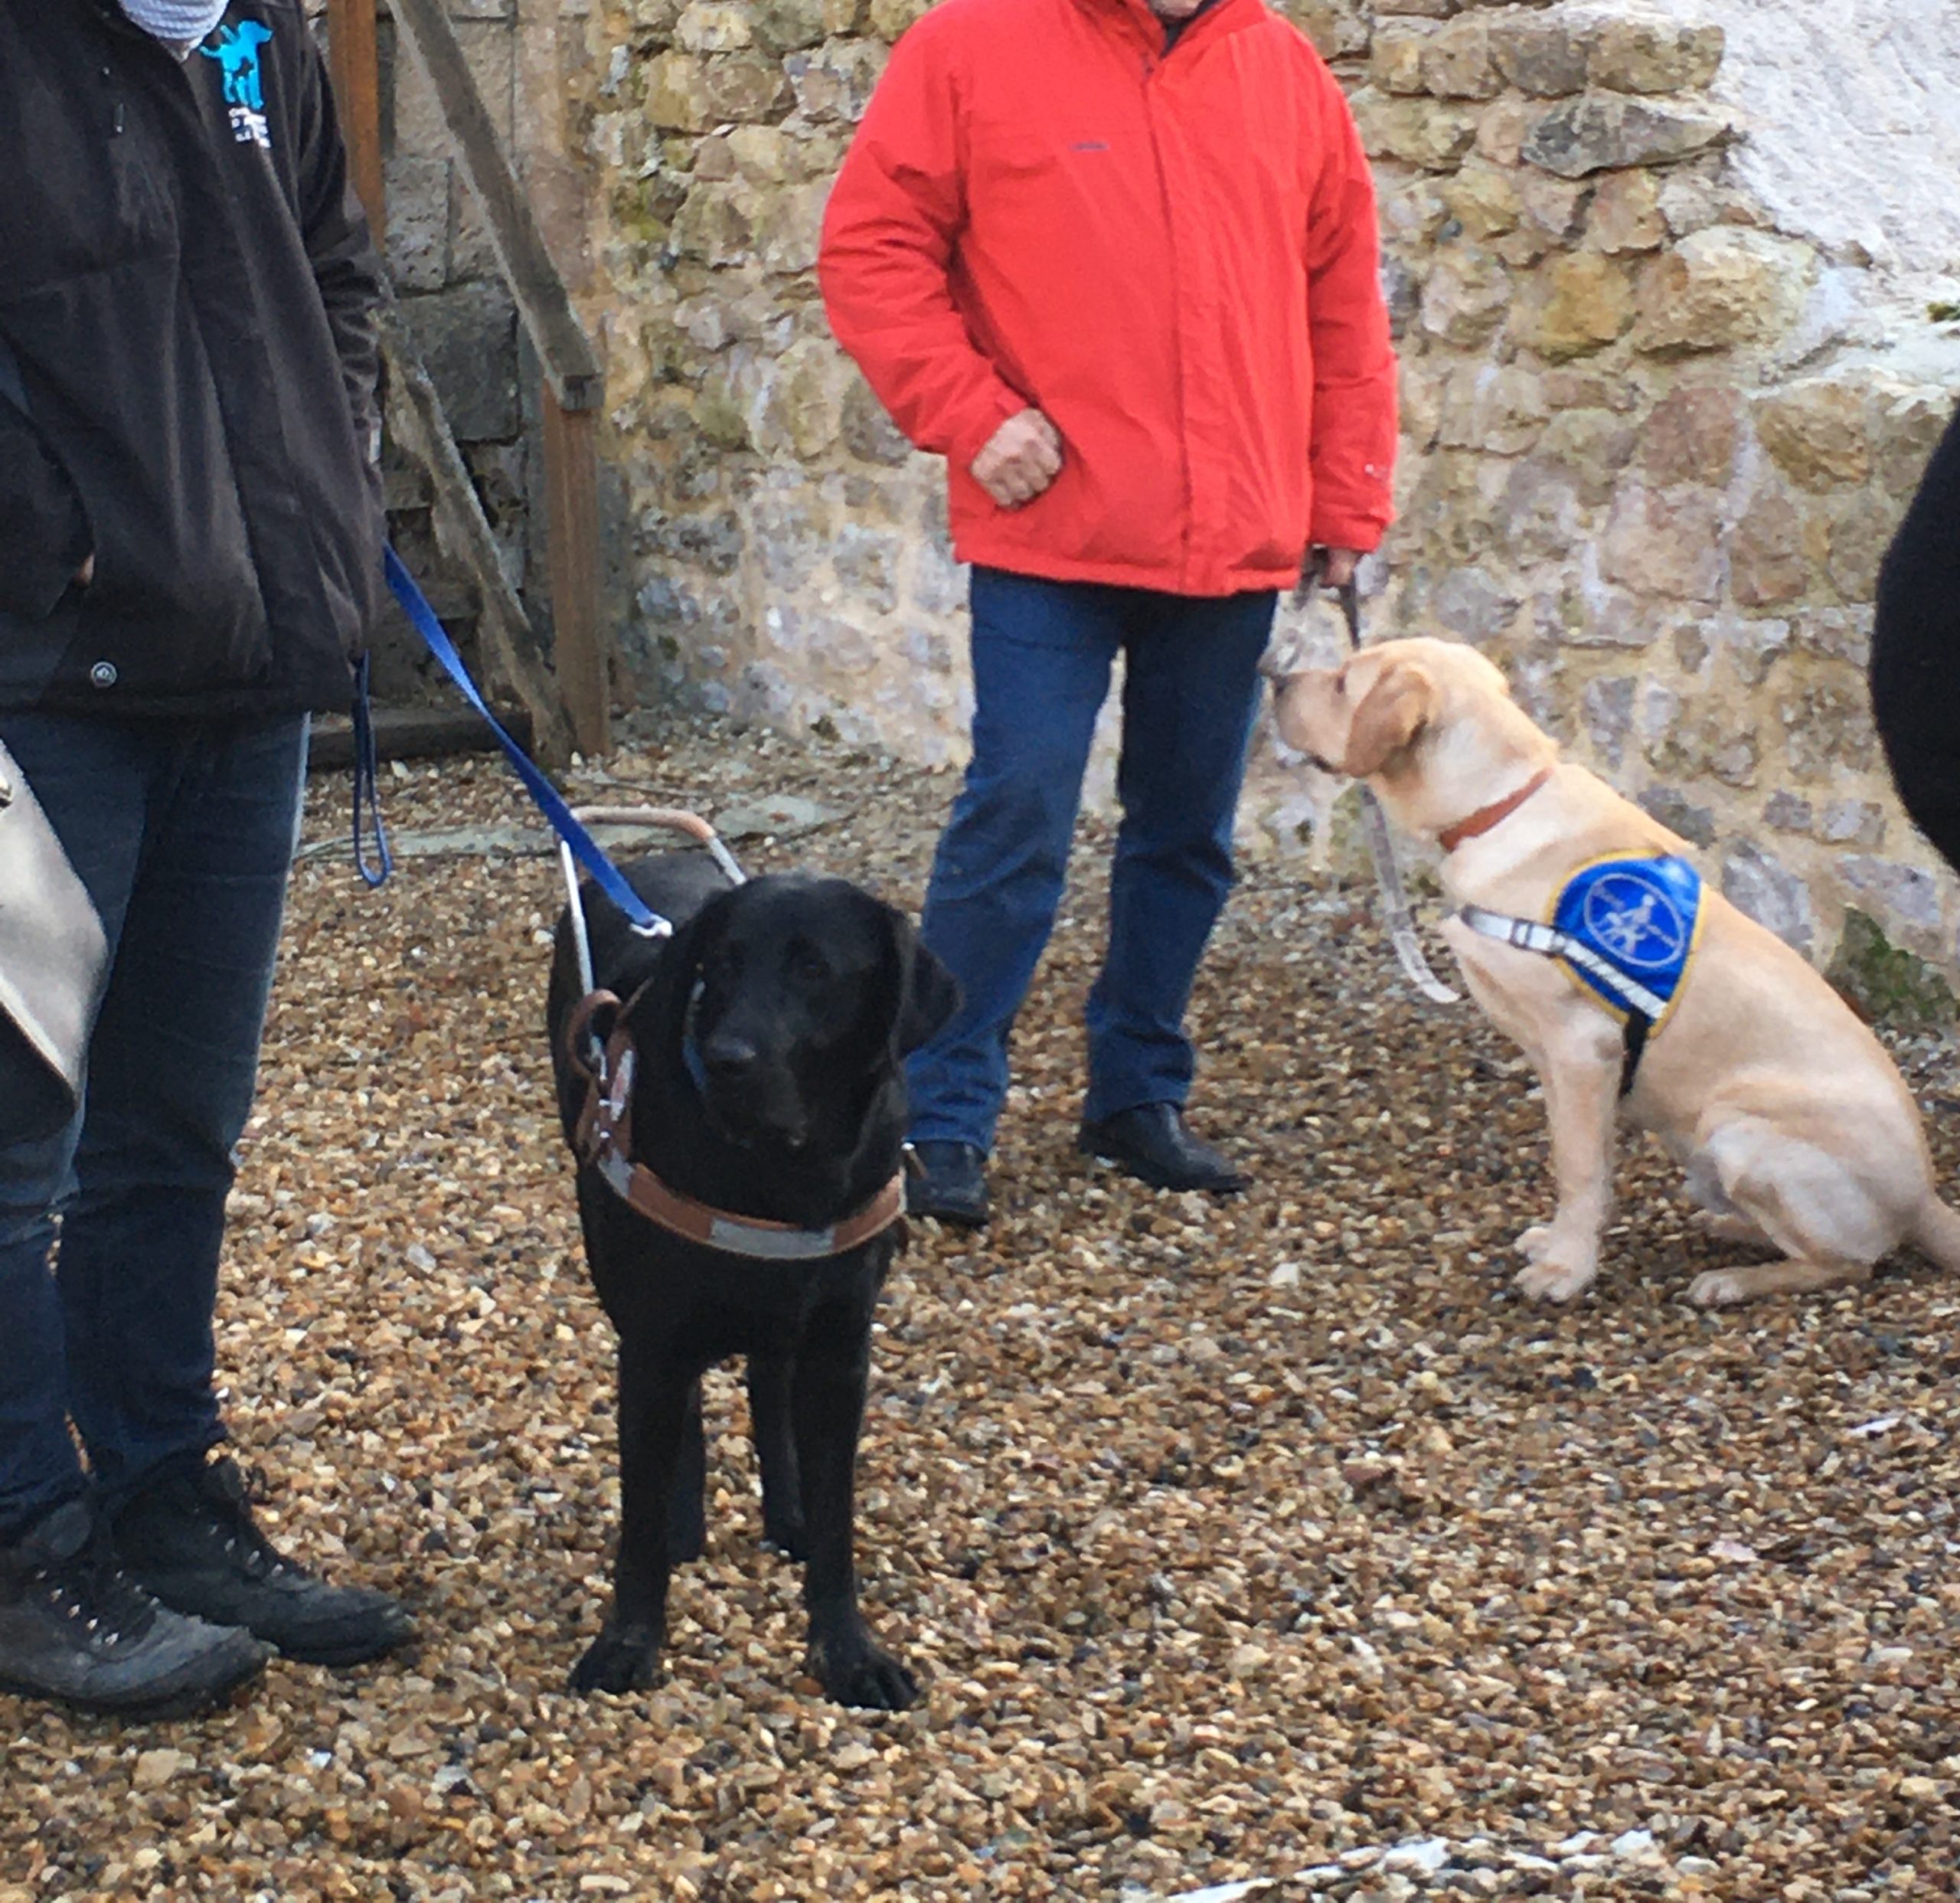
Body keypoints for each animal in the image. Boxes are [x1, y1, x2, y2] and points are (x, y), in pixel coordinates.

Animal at [544, 850, 956, 1708]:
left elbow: (837, 1519)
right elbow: (639, 1517)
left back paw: (785, 1513)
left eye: (814, 968)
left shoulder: (840, 1349)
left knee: (768, 1380)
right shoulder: (655, 1339)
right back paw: (687, 1521)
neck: (779, 1172)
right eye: (722, 965)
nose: (728, 1059)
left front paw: (848, 1650)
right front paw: (628, 1640)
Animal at [1269, 639, 1960, 1309]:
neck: (1498, 806)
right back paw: (1731, 1230)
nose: (1275, 678)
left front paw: (1566, 1271)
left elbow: (1577, 1169)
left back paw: (1734, 1281)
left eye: (1343, 682)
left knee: (1849, 1263)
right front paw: (1564, 1244)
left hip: (1737, 1128)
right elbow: (1584, 1166)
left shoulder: (1582, 1049)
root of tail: (1927, 1200)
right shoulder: (1564, 1066)